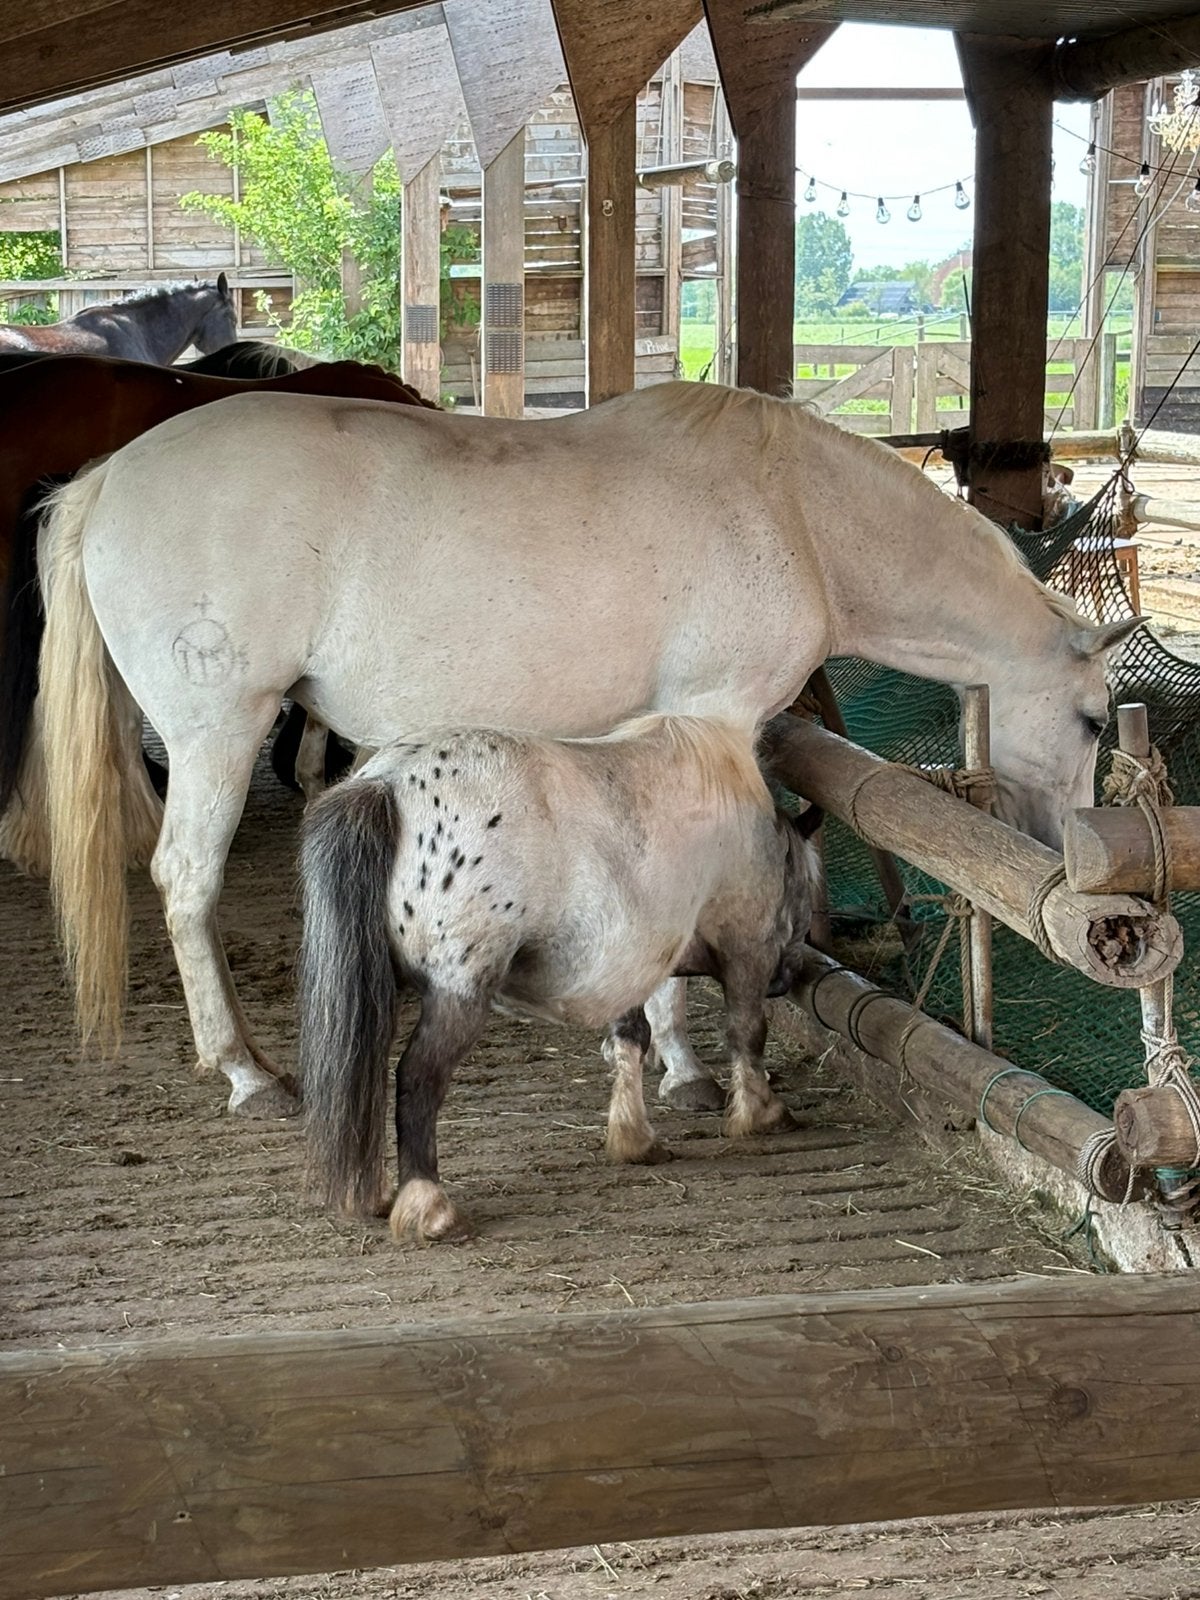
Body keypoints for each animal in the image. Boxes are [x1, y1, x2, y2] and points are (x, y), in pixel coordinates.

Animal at [33, 381, 1142, 1122]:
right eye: (1095, 720)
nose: (1062, 839)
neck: (796, 509)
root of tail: (110, 477)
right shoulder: (711, 720)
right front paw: (689, 1066)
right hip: (218, 733)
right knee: (185, 880)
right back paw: (243, 1069)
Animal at [299, 714, 822, 1242]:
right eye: (810, 892)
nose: (786, 980)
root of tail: (385, 782)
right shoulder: (747, 949)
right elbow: (746, 1031)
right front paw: (762, 1112)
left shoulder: (632, 963)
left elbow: (632, 1037)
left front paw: (633, 1137)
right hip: (458, 994)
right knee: (417, 1079)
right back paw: (430, 1205)